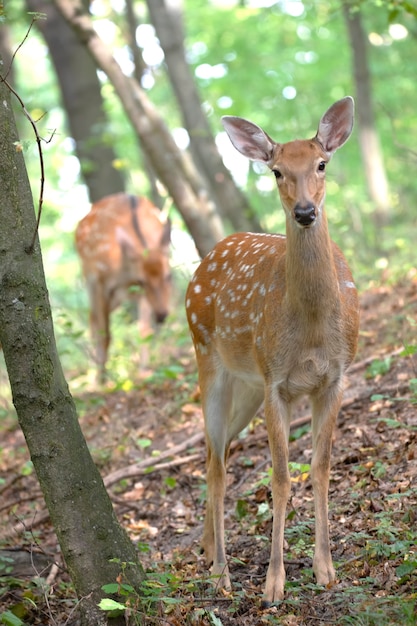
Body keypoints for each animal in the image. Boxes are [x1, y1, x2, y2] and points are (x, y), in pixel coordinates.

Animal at [75, 191, 171, 380]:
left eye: (168, 276)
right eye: (142, 281)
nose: (162, 315)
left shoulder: (139, 294)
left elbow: (144, 331)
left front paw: (144, 371)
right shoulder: (100, 281)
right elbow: (105, 336)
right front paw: (101, 380)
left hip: (118, 297)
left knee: (93, 316)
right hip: (90, 278)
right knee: (92, 318)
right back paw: (94, 371)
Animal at [184, 98, 360, 604]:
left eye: (321, 163)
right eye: (277, 170)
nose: (304, 211)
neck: (313, 330)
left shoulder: (335, 377)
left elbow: (320, 468)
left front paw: (325, 569)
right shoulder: (276, 382)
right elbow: (279, 478)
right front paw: (274, 583)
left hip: (247, 386)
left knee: (216, 453)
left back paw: (207, 549)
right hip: (209, 359)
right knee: (218, 465)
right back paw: (221, 572)